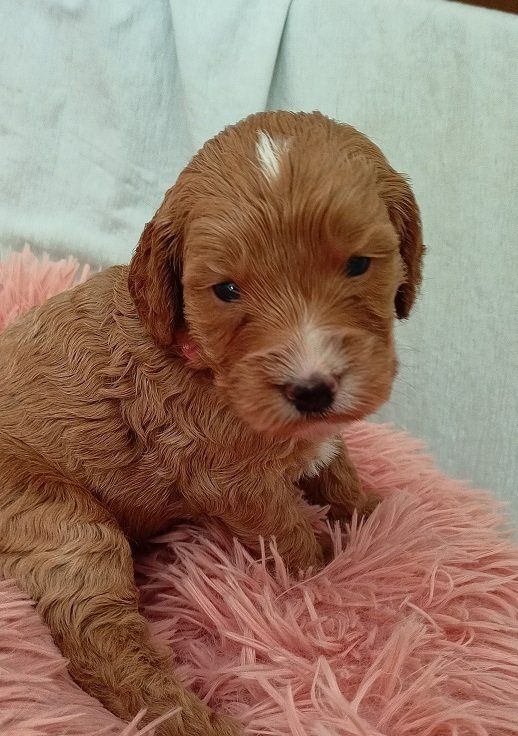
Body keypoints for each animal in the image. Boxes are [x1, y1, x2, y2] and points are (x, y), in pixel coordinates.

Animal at [0, 111, 423, 735]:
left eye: (357, 264)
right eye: (226, 290)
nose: (312, 389)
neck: (200, 357)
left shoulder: (315, 444)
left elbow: (339, 473)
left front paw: (381, 519)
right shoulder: (232, 483)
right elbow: (291, 534)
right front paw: (326, 571)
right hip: (60, 518)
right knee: (97, 636)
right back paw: (196, 720)